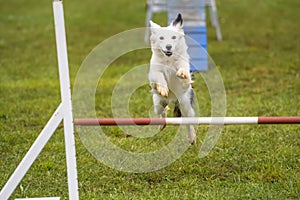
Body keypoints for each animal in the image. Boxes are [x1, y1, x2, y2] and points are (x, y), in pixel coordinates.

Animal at [148, 13, 197, 144]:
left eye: (174, 37)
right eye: (161, 38)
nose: (168, 46)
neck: (168, 60)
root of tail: (173, 100)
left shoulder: (184, 70)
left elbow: (183, 72)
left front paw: (181, 73)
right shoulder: (154, 73)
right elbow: (159, 77)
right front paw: (163, 89)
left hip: (185, 104)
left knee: (188, 122)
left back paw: (192, 137)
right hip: (157, 103)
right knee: (162, 111)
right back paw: (162, 123)